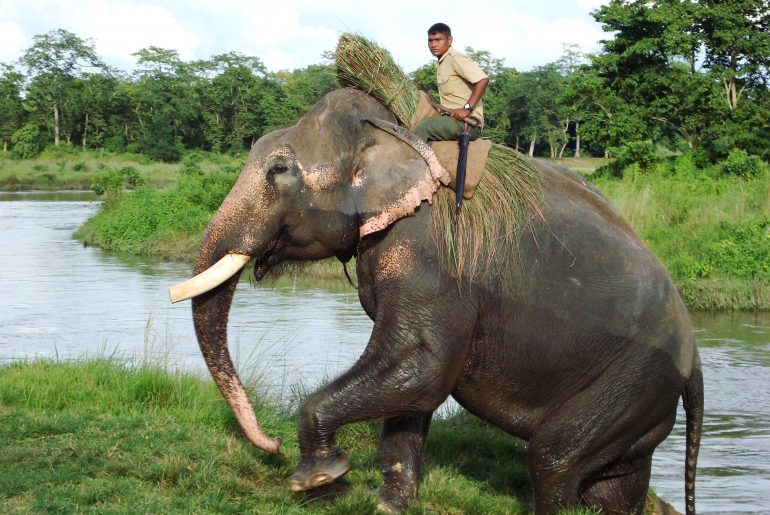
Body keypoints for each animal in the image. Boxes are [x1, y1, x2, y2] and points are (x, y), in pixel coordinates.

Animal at [172, 88, 704, 515]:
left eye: (279, 171)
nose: (272, 444)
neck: (395, 138)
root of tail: (695, 354)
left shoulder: (430, 260)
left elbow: (422, 364)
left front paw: (316, 478)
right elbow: (410, 388)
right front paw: (388, 505)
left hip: (632, 379)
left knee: (555, 458)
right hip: (640, 399)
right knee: (614, 483)